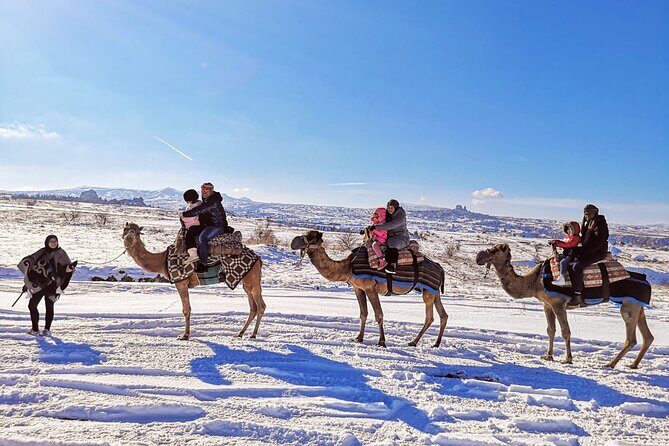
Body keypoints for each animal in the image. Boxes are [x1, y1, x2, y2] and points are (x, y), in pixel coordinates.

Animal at [122, 222, 265, 340]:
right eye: (125, 229)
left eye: (137, 232)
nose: (129, 236)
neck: (161, 260)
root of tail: (259, 259)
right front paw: (185, 334)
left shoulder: (181, 282)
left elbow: (186, 309)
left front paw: (185, 335)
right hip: (246, 281)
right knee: (253, 307)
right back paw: (240, 333)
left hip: (252, 279)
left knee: (260, 306)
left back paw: (253, 334)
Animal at [291, 230, 448, 348]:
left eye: (311, 236)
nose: (293, 243)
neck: (348, 266)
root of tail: (440, 268)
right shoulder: (358, 288)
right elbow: (363, 313)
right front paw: (358, 338)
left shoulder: (370, 288)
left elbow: (379, 315)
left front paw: (382, 342)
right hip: (434, 291)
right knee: (443, 315)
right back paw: (435, 343)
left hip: (428, 291)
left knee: (430, 317)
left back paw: (414, 342)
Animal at [475, 243, 654, 368]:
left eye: (495, 250)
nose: (479, 257)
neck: (534, 281)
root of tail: (646, 281)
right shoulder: (547, 304)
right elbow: (550, 330)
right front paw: (548, 356)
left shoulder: (558, 304)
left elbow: (565, 331)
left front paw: (567, 359)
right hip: (638, 306)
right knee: (647, 336)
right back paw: (633, 364)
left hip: (628, 307)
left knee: (631, 338)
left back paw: (610, 364)